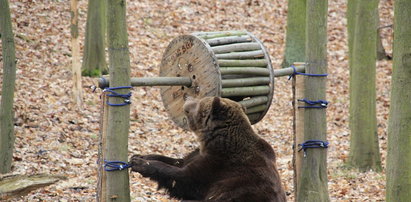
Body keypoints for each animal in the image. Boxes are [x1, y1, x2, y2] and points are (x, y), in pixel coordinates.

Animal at [130, 97, 286, 201]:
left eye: (199, 102)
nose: (188, 98)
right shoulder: (201, 155)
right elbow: (177, 161)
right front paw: (139, 156)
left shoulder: (218, 166)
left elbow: (183, 177)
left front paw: (140, 164)